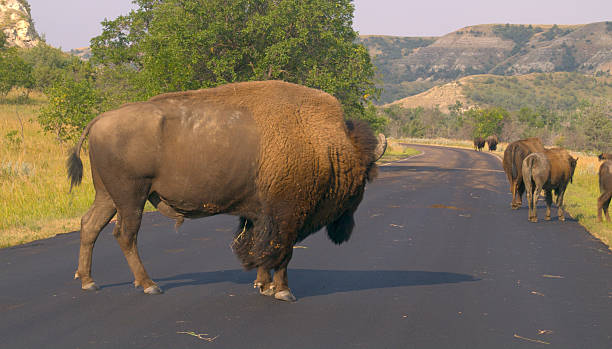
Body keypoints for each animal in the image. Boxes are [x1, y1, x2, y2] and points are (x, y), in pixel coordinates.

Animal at [67, 80, 388, 300]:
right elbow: (281, 253)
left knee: (90, 225)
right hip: (131, 196)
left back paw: (88, 281)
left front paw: (263, 285)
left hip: (108, 196)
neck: (326, 145)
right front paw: (284, 291)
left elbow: (258, 248)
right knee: (125, 235)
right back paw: (149, 285)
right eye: (363, 180)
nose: (347, 227)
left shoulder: (259, 216)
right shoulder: (287, 217)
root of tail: (100, 119)